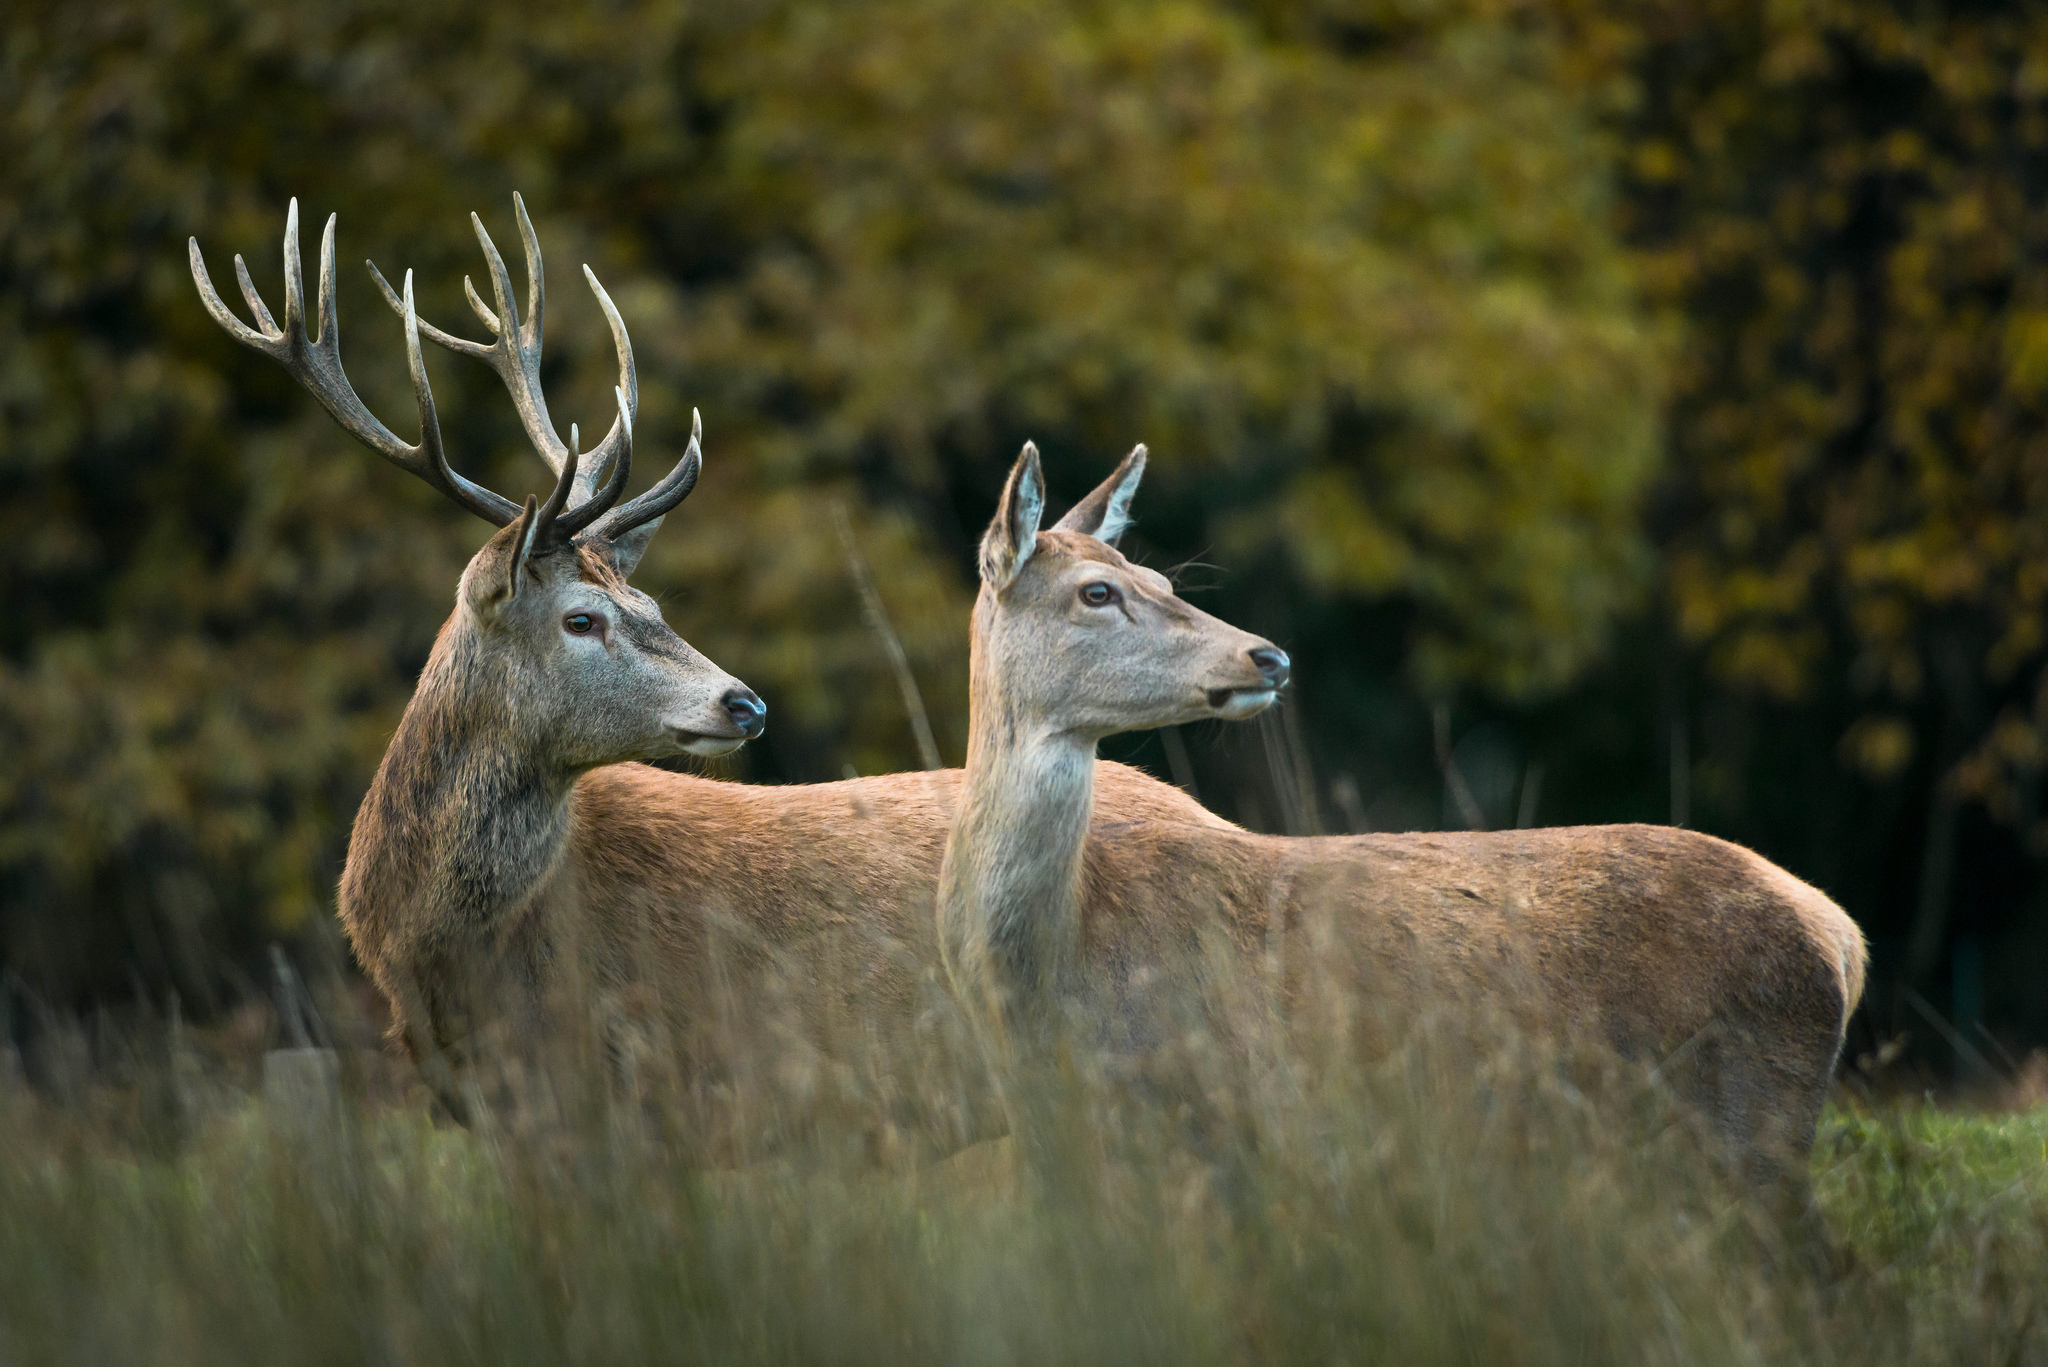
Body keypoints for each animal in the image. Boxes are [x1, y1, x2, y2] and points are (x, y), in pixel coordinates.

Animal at [942, 444, 1875, 1205]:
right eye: (1097, 590)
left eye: (1167, 582)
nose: (1268, 655)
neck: (1049, 969)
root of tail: (1839, 933)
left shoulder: (1216, 1119)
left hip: (1752, 1123)